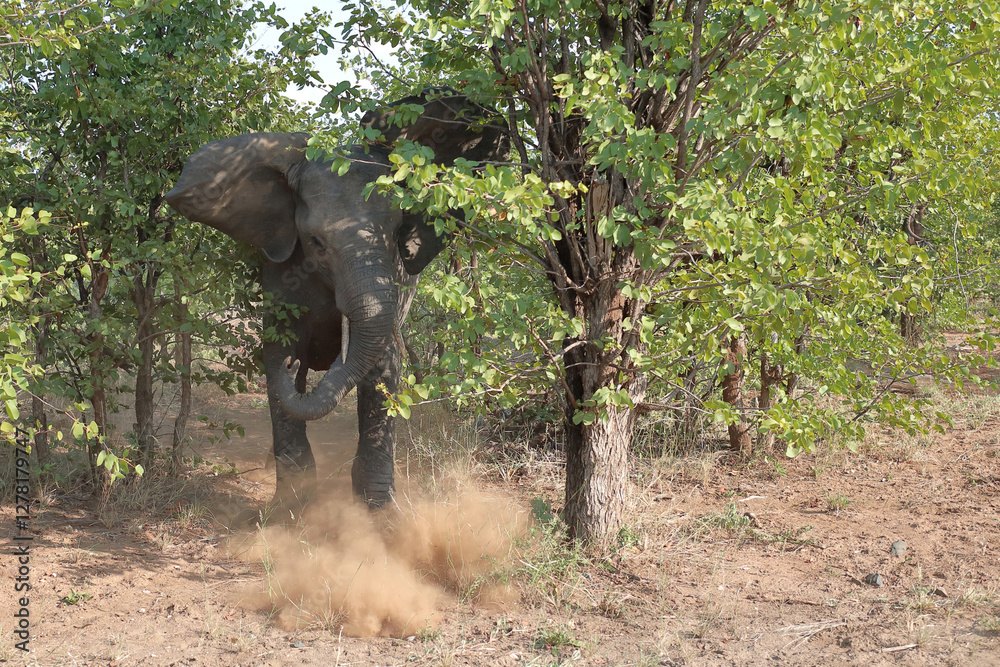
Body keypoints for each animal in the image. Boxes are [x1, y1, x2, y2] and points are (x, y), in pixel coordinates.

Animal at [165, 89, 507, 517]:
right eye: (315, 243)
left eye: (398, 231)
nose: (297, 364)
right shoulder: (281, 271)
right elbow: (277, 350)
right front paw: (285, 512)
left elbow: (382, 367)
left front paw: (383, 516)